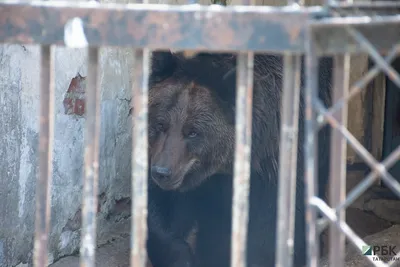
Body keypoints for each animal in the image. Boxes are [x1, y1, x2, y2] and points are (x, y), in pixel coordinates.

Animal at [146, 50, 332, 267]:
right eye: (160, 124)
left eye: (192, 132)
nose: (161, 172)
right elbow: (161, 212)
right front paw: (182, 255)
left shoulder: (275, 165)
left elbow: (271, 230)